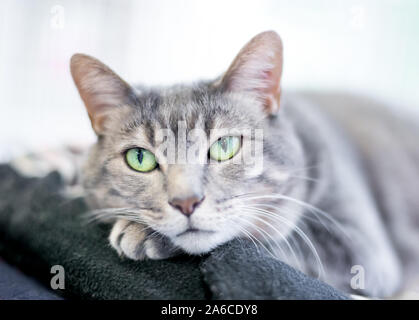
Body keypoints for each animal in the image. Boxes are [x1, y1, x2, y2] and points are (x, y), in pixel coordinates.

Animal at [13, 30, 419, 298]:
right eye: (140, 158)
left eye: (224, 146)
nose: (186, 202)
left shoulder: (361, 250)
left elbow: (264, 239)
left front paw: (141, 233)